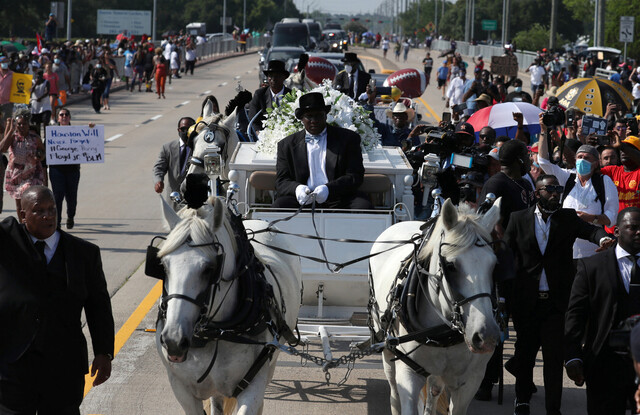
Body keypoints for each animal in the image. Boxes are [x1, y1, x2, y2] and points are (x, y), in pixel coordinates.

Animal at [157, 196, 302, 415]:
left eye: (209, 269)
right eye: (164, 266)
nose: (173, 340)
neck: (216, 332)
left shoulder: (254, 383)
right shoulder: (180, 387)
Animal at [368, 200, 502, 414]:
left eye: (494, 265)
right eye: (451, 265)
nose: (486, 335)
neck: (443, 333)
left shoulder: (470, 381)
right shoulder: (409, 373)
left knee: (434, 389)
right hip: (387, 349)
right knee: (394, 393)